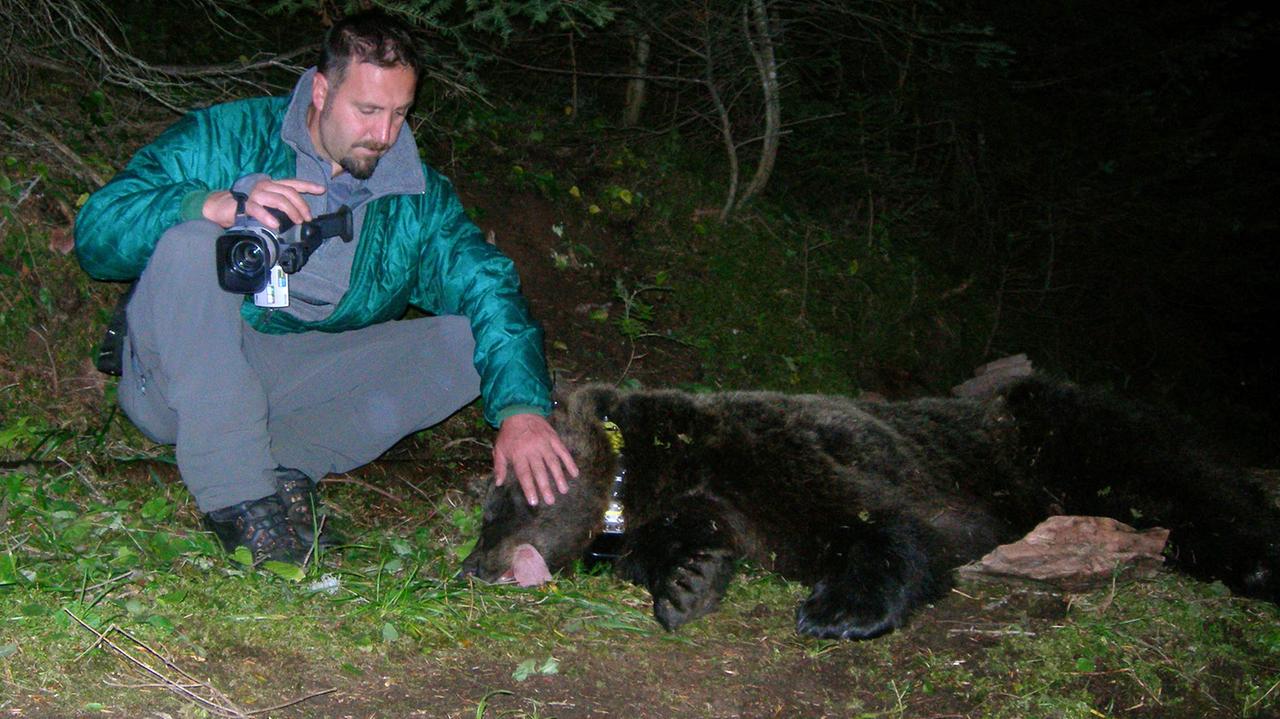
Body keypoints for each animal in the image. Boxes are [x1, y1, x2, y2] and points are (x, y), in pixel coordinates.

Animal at [461, 376, 1280, 640]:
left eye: (496, 507)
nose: (471, 566)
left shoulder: (776, 452)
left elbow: (875, 521)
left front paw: (839, 609)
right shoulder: (711, 498)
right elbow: (693, 540)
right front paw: (688, 580)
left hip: (1059, 437)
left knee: (1184, 479)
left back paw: (1247, 558)